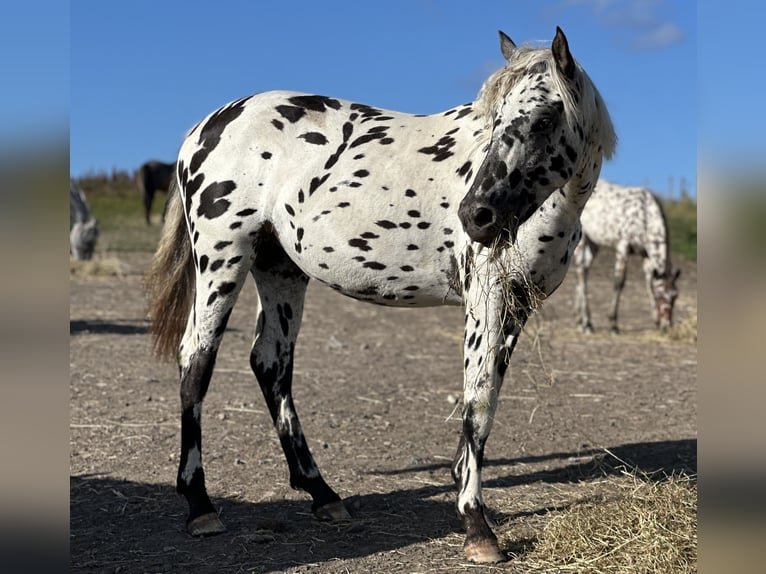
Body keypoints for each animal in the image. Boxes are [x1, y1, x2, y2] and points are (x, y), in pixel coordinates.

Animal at [146, 28, 615, 564]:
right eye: (496, 120)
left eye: (543, 118)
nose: (475, 215)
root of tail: (205, 128)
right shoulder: (488, 300)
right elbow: (477, 404)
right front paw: (476, 526)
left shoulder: (517, 307)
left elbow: (486, 402)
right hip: (222, 258)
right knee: (197, 359)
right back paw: (201, 506)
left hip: (279, 269)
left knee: (270, 362)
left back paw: (322, 494)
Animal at [573, 179, 680, 333]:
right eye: (659, 296)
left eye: (675, 296)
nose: (667, 326)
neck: (645, 215)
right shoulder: (623, 246)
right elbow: (619, 282)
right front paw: (613, 324)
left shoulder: (646, 254)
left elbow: (649, 282)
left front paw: (655, 321)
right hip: (582, 239)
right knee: (580, 270)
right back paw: (586, 323)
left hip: (594, 243)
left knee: (584, 270)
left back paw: (581, 321)